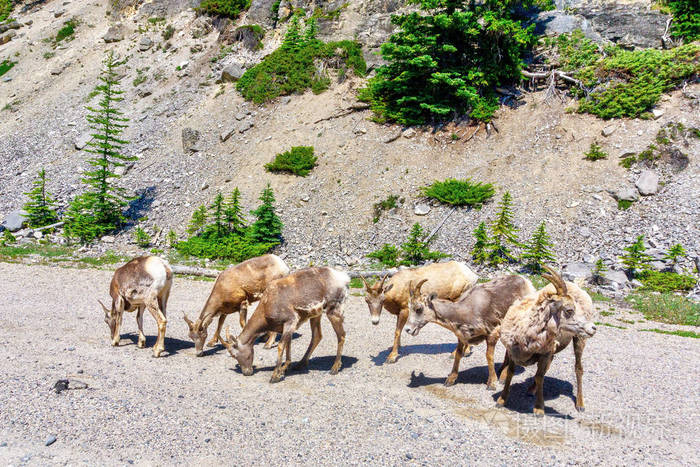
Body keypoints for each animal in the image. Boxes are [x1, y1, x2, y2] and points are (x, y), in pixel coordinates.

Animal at [402, 276, 532, 390]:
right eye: (409, 306)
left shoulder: (492, 334)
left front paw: (492, 383)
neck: (465, 311)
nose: (408, 329)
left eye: (418, 308)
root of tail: (526, 282)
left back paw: (503, 377)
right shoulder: (461, 337)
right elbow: (458, 354)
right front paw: (450, 380)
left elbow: (489, 356)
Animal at [494, 266, 600, 416]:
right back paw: (531, 390)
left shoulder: (545, 353)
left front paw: (539, 409)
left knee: (578, 368)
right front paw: (501, 401)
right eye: (569, 310)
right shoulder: (513, 352)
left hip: (579, 339)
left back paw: (580, 405)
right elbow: (510, 373)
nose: (593, 328)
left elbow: (540, 377)